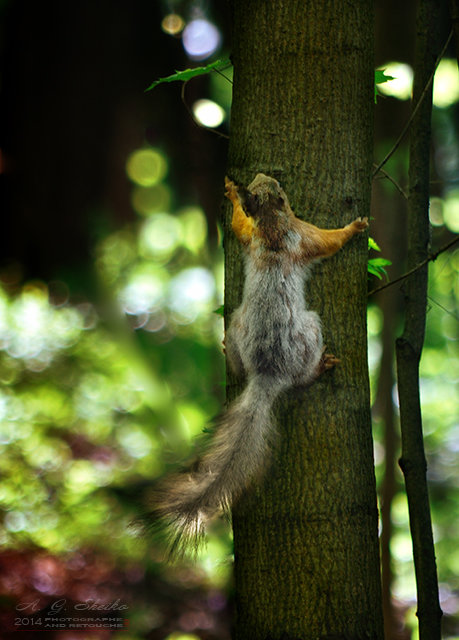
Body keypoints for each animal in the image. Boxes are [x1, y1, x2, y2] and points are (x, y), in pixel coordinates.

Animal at [149, 174, 368, 556]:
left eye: (266, 183)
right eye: (277, 188)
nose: (264, 176)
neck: (271, 226)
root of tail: (269, 372)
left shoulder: (254, 237)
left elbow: (239, 227)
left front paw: (230, 192)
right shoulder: (303, 233)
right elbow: (329, 241)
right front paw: (354, 228)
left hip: (237, 322)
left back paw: (227, 348)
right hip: (310, 329)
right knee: (305, 368)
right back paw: (319, 368)